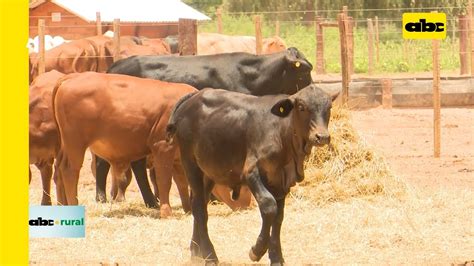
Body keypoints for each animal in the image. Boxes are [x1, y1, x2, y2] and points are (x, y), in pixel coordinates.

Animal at [53, 71, 196, 217]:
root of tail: (73, 76)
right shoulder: (162, 147)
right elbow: (165, 181)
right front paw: (166, 212)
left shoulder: (177, 157)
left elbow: (182, 182)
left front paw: (188, 210)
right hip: (75, 144)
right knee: (69, 170)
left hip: (64, 145)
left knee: (58, 169)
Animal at [167, 84, 336, 262]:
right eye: (302, 107)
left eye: (329, 107)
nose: (322, 136)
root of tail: (194, 97)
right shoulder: (251, 172)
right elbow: (269, 206)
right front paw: (257, 250)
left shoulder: (280, 182)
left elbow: (278, 218)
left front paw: (276, 257)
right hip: (191, 165)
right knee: (200, 208)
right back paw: (210, 255)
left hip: (208, 173)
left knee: (198, 204)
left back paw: (196, 252)